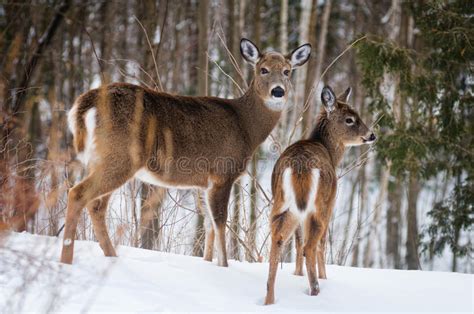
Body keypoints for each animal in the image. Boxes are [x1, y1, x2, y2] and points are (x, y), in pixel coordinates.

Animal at [60, 38, 312, 264]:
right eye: (263, 70)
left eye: (288, 71)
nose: (278, 91)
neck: (246, 127)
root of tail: (85, 103)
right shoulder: (223, 173)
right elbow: (220, 223)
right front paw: (224, 266)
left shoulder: (205, 183)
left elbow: (209, 226)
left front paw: (208, 262)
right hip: (121, 156)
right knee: (78, 193)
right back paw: (67, 259)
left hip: (103, 158)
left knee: (96, 205)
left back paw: (110, 256)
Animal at [264, 85, 376, 304]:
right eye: (350, 119)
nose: (371, 135)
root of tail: (299, 167)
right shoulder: (331, 203)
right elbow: (319, 244)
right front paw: (324, 277)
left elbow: (298, 242)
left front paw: (297, 274)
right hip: (319, 206)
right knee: (311, 245)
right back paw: (315, 289)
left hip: (281, 203)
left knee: (279, 239)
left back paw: (269, 299)